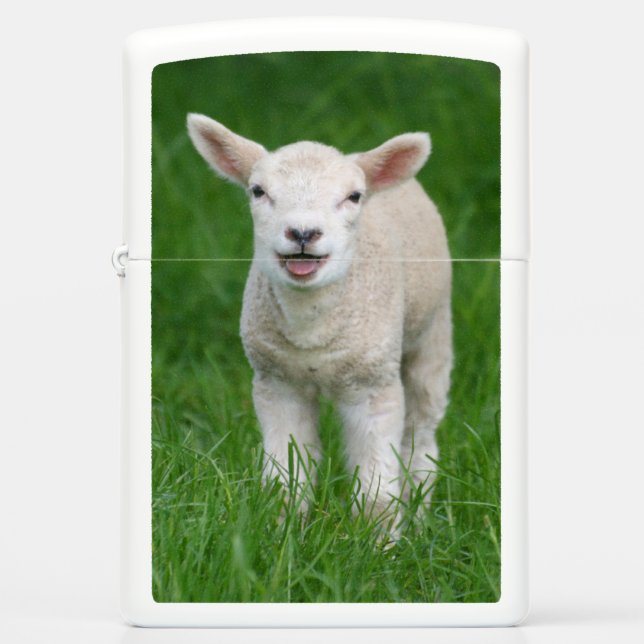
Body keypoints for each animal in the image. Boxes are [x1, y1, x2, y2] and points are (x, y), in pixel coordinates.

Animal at [187, 114, 452, 528]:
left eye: (354, 196)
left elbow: (377, 490)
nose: (302, 233)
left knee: (421, 434)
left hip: (433, 333)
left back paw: (421, 514)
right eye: (258, 191)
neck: (310, 331)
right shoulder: (278, 382)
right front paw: (281, 530)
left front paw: (377, 541)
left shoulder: (374, 386)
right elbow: (286, 478)